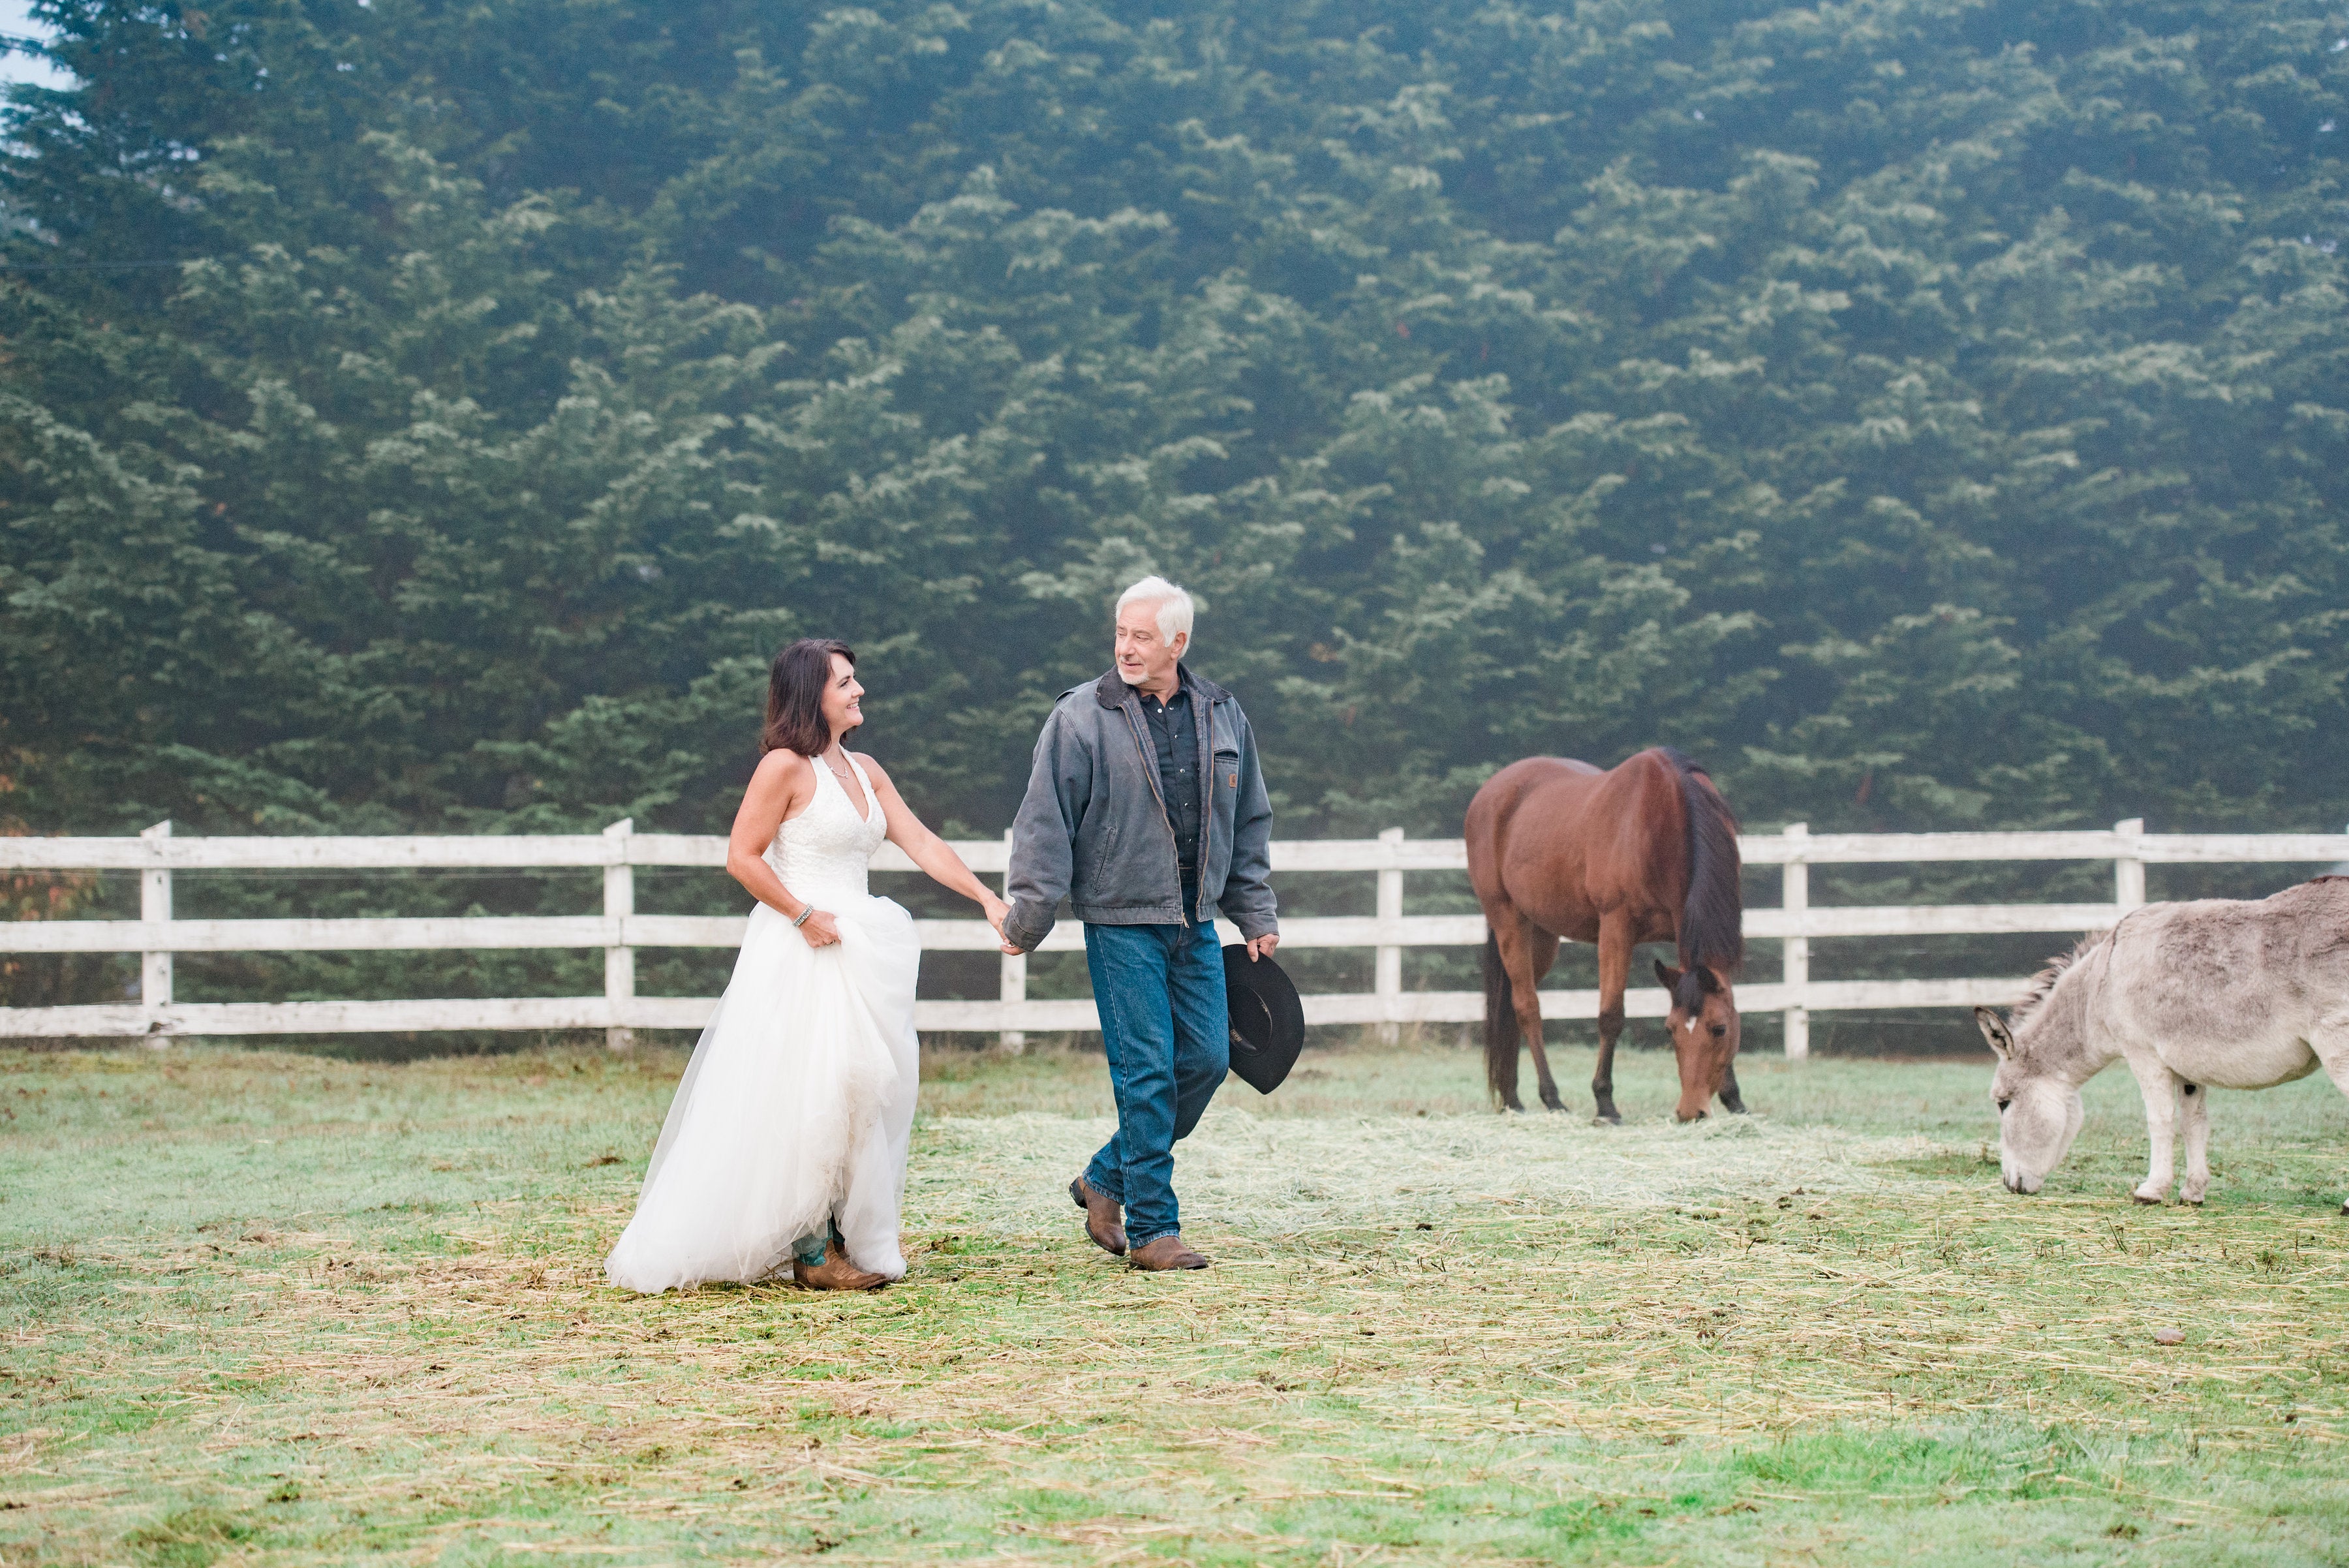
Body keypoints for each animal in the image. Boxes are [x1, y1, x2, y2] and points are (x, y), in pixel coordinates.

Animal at [1466, 746, 1747, 1113]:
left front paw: (1735, 1100)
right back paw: (1552, 1098)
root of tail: (1489, 792)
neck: (1665, 817)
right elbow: (1611, 1015)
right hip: (1507, 918)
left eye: (1720, 1029)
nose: (1691, 1112)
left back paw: (1513, 1100)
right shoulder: (1616, 928)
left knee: (1511, 1005)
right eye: (1670, 1030)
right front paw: (1605, 1103)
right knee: (1527, 1007)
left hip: (1541, 933)